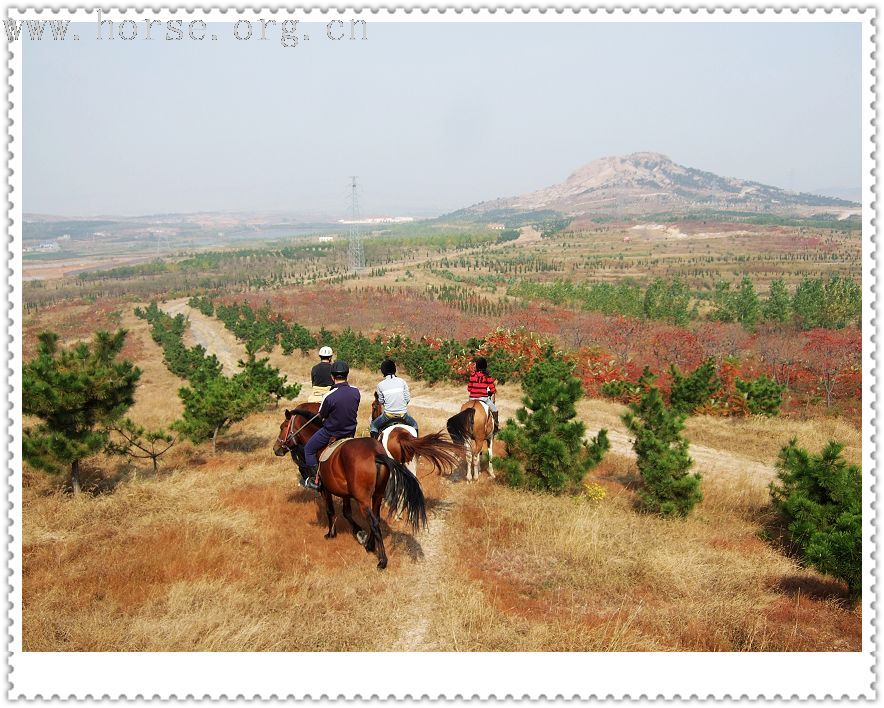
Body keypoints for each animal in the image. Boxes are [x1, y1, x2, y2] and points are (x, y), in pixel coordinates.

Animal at [276, 404, 428, 568]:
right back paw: (370, 545)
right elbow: (347, 512)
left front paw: (332, 533)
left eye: (282, 427)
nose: (276, 448)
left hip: (363, 499)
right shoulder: (345, 493)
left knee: (374, 522)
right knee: (376, 517)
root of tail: (376, 454)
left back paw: (382, 560)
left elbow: (330, 510)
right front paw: (359, 533)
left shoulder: (325, 489)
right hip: (377, 495)